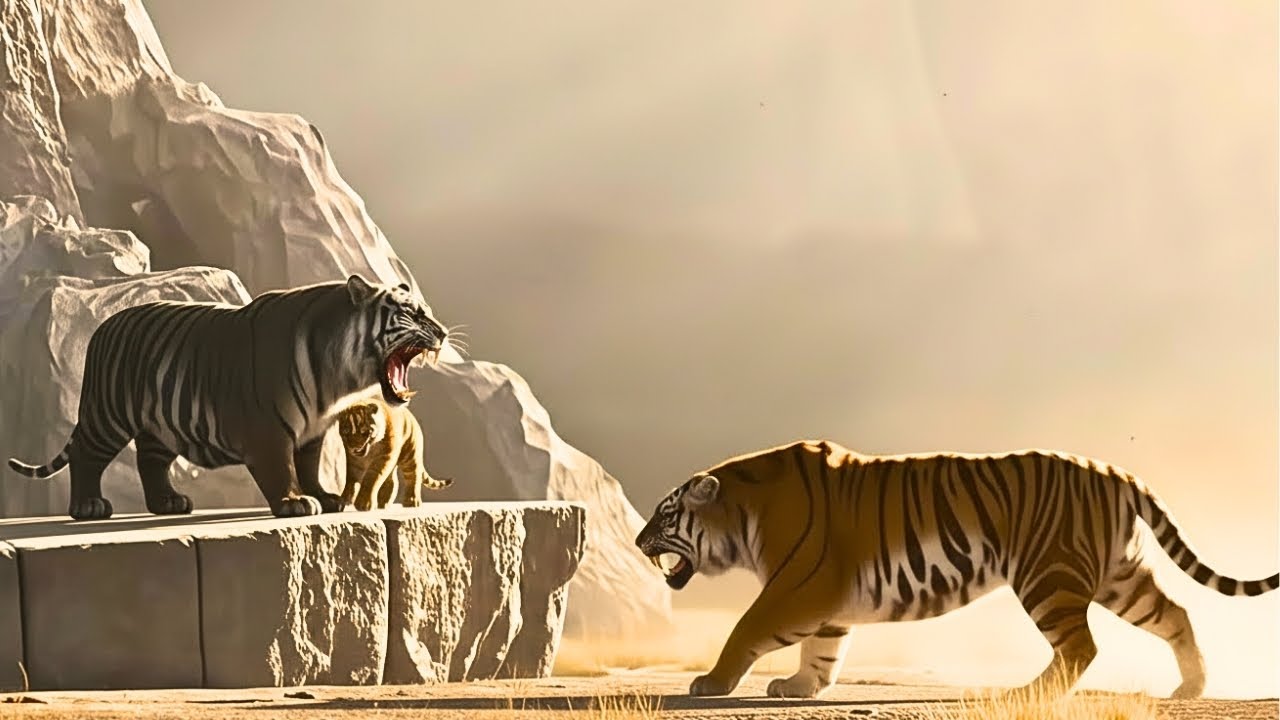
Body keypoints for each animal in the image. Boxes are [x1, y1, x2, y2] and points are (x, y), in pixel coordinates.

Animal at [7, 274, 449, 520]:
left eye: (428, 310)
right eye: (412, 313)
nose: (444, 332)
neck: (337, 380)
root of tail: (103, 326)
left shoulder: (313, 433)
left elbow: (308, 466)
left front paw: (326, 497)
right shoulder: (268, 428)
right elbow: (281, 468)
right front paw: (295, 502)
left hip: (160, 428)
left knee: (150, 461)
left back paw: (168, 502)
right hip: (107, 415)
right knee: (86, 455)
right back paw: (88, 507)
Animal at [635, 440, 1279, 700]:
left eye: (666, 514)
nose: (639, 540)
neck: (744, 516)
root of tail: (1114, 471)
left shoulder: (797, 585)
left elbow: (747, 629)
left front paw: (710, 683)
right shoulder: (825, 595)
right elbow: (824, 649)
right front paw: (799, 687)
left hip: (1048, 575)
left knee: (1081, 646)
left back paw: (1028, 693)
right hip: (1119, 575)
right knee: (1175, 613)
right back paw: (1191, 685)